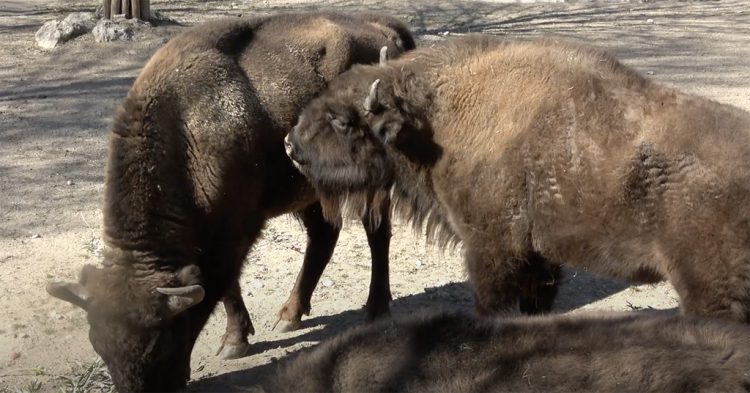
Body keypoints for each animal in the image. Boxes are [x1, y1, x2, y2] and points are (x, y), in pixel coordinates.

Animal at [43, 11, 418, 392]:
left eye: (159, 344)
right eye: (98, 345)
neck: (184, 131)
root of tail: (383, 28)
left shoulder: (234, 233)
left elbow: (220, 286)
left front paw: (231, 344)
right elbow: (227, 288)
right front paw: (237, 341)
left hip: (370, 182)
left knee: (377, 235)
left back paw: (375, 309)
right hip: (310, 190)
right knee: (324, 237)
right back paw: (289, 315)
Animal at [286, 33, 750, 322]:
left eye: (343, 121)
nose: (290, 145)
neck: (437, 119)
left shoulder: (492, 248)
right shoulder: (539, 257)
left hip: (708, 290)